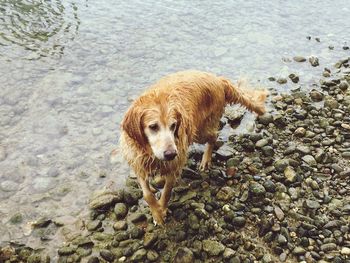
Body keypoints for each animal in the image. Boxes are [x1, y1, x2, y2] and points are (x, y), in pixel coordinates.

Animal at [119, 71, 266, 226]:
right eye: (153, 126)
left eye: (173, 126)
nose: (171, 154)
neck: (149, 151)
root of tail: (219, 80)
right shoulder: (138, 163)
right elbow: (147, 194)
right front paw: (157, 213)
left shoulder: (175, 163)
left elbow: (167, 192)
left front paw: (162, 211)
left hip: (199, 131)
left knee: (213, 136)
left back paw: (205, 160)